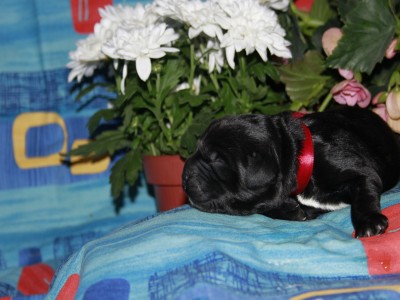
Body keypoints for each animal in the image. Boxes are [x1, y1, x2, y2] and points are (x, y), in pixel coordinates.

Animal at [183, 106, 400, 238]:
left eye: (216, 160)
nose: (184, 175)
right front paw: (291, 210)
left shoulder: (360, 171)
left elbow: (364, 194)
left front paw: (369, 222)